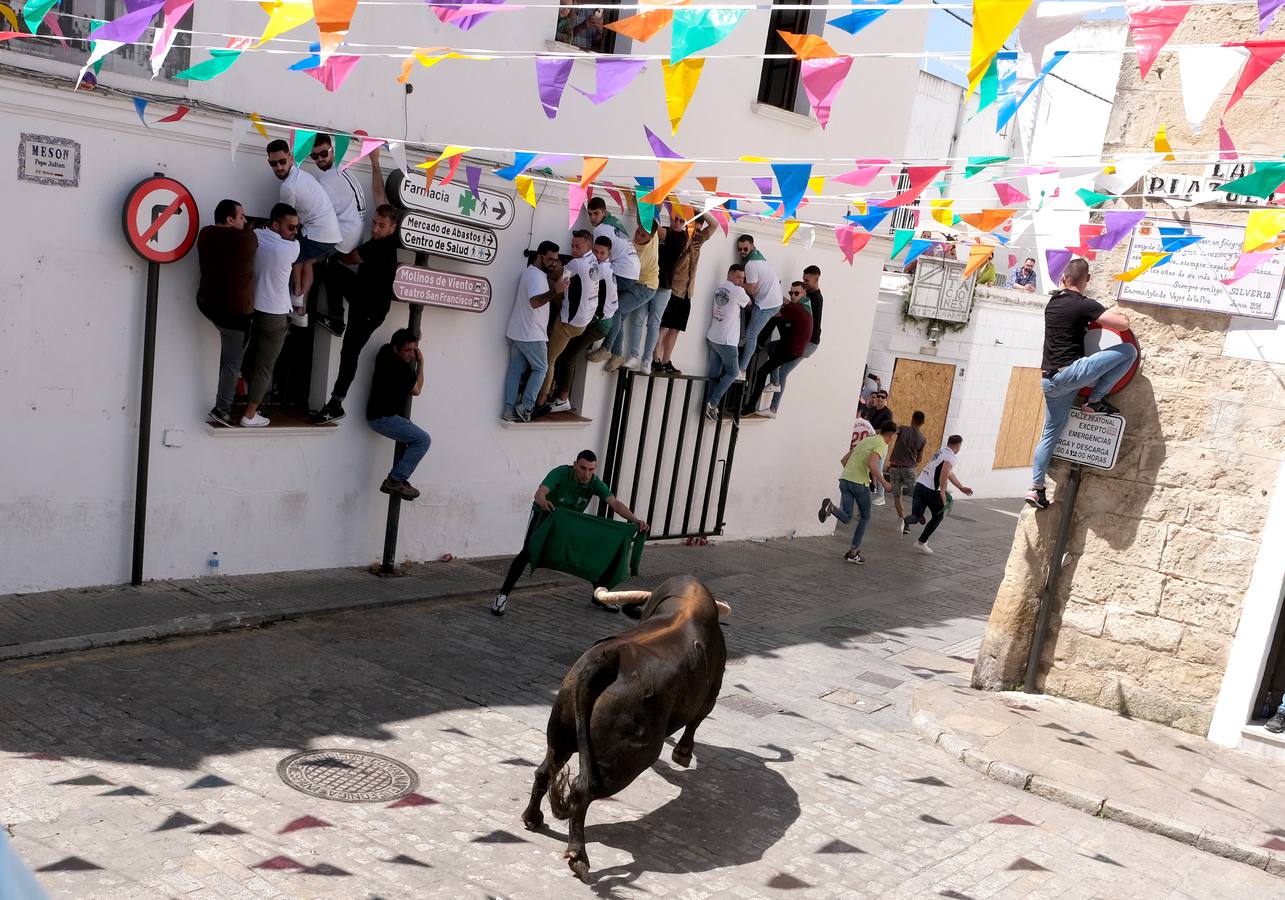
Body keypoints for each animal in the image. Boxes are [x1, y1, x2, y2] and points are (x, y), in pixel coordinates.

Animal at [519, 576, 724, 879]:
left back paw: (532, 819)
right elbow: (696, 722)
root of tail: (609, 659)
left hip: (561, 733)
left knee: (545, 771)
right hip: (627, 759)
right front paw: (683, 754)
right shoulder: (710, 695)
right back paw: (579, 857)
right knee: (582, 789)